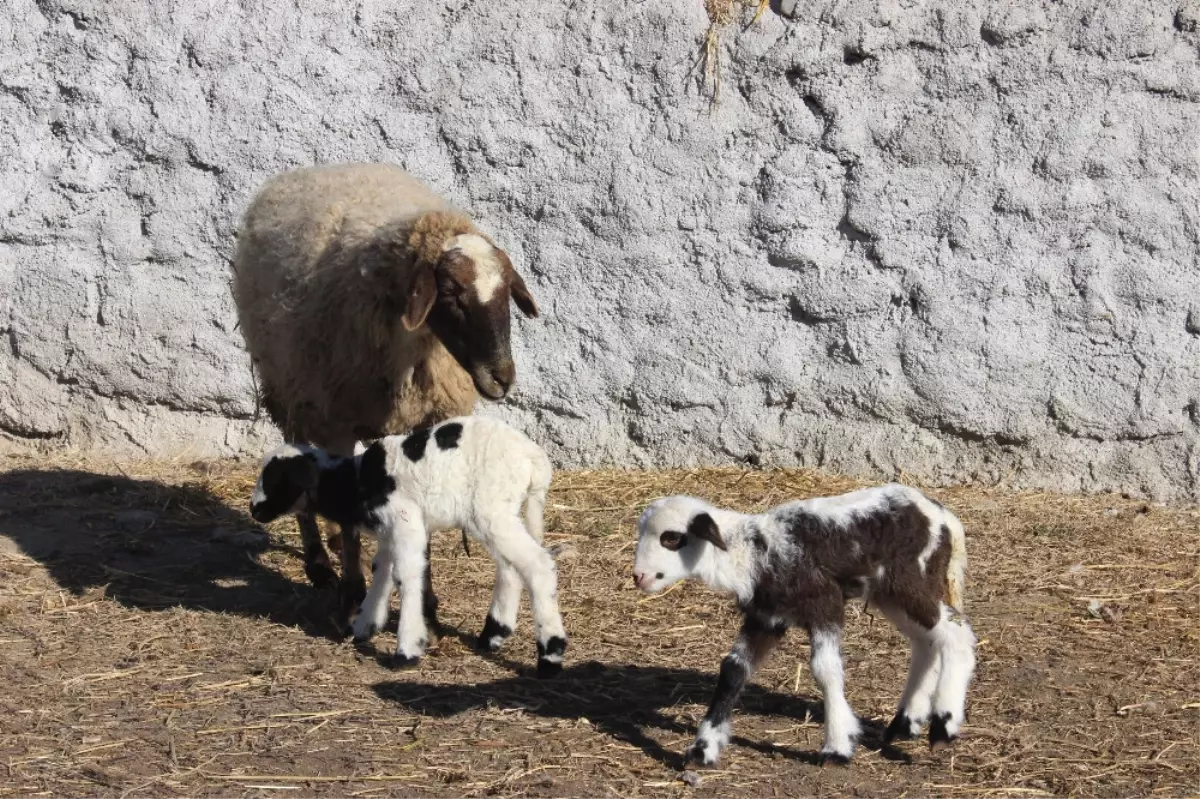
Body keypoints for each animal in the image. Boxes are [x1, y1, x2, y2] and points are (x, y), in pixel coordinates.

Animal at [230, 161, 540, 623]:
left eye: (506, 292)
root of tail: (321, 168)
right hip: (292, 391)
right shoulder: (336, 420)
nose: (502, 378)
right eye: (451, 293)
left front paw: (426, 602)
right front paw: (351, 595)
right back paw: (320, 563)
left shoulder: (428, 421)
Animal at [249, 412, 566, 676]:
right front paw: (364, 626)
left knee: (538, 565)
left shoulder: (406, 522)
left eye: (274, 479)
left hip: (490, 510)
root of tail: (534, 458)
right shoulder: (389, 532)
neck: (355, 483)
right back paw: (493, 635)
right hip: (495, 513)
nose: (253, 510)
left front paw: (408, 649)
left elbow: (406, 576)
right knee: (511, 567)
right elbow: (381, 571)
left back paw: (550, 655)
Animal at [628, 482, 974, 763]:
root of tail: (944, 517)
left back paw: (943, 725)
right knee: (926, 641)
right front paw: (702, 750)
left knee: (956, 635)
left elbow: (825, 669)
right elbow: (734, 670)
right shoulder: (766, 617)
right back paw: (906, 723)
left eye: (672, 538)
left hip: (911, 580)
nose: (639, 577)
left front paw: (837, 747)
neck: (753, 553)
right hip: (889, 593)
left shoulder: (825, 604)